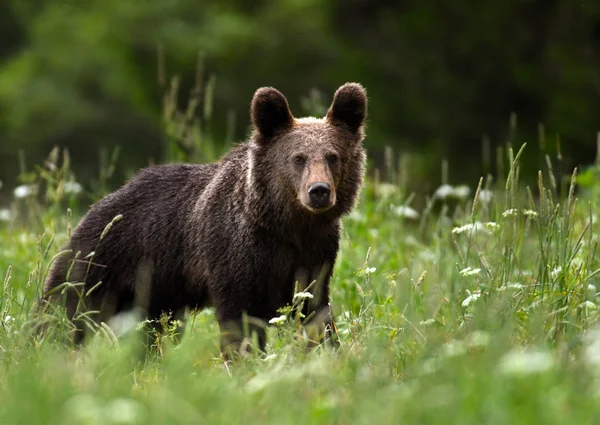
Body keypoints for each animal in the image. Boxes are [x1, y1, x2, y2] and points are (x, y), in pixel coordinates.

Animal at [39, 81, 368, 356]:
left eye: (333, 156)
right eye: (297, 158)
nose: (319, 191)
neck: (288, 225)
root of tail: (98, 204)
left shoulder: (316, 254)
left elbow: (314, 311)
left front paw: (328, 352)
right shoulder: (236, 253)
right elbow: (240, 318)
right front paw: (245, 359)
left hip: (153, 292)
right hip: (101, 259)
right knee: (64, 307)